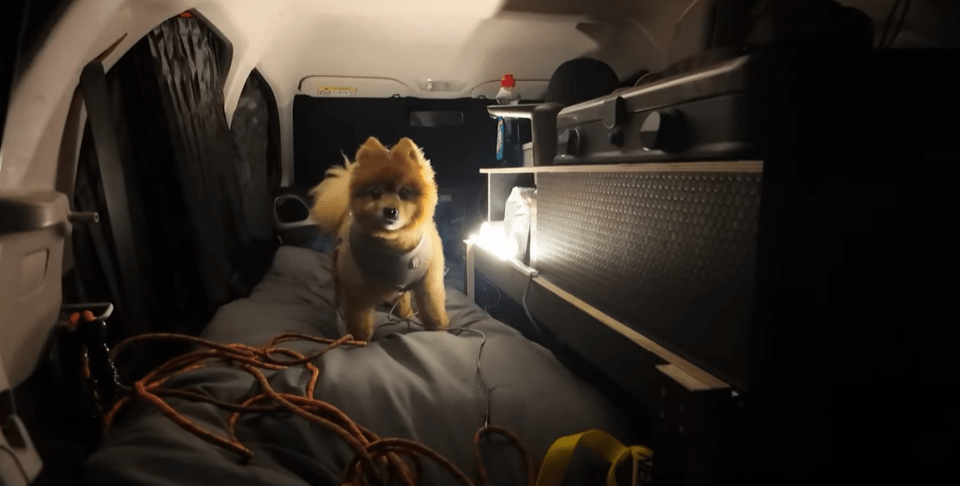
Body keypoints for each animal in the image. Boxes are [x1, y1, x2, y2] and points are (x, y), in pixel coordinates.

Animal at [314, 137, 452, 342]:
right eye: (375, 193)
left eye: (404, 193)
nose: (390, 211)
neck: (395, 245)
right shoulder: (358, 293)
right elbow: (360, 326)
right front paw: (358, 343)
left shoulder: (429, 285)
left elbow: (434, 314)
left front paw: (441, 334)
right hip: (338, 266)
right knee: (338, 287)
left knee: (403, 298)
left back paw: (405, 314)